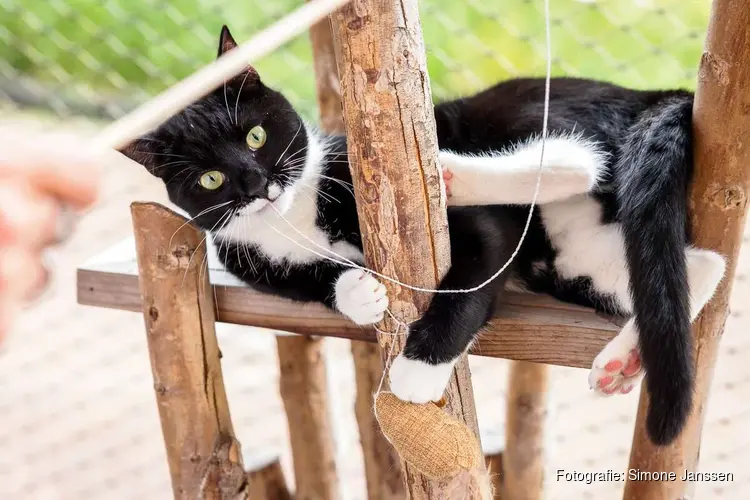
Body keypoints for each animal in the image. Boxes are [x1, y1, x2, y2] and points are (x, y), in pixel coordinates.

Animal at [123, 26, 728, 446]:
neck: (293, 217)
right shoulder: (251, 261)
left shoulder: (466, 224)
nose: (256, 183)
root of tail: (651, 92)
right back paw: (625, 361)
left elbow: (471, 281)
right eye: (210, 179)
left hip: (523, 113)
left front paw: (417, 373)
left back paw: (450, 173)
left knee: (578, 160)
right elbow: (309, 283)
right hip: (570, 259)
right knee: (699, 266)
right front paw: (356, 293)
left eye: (255, 134)